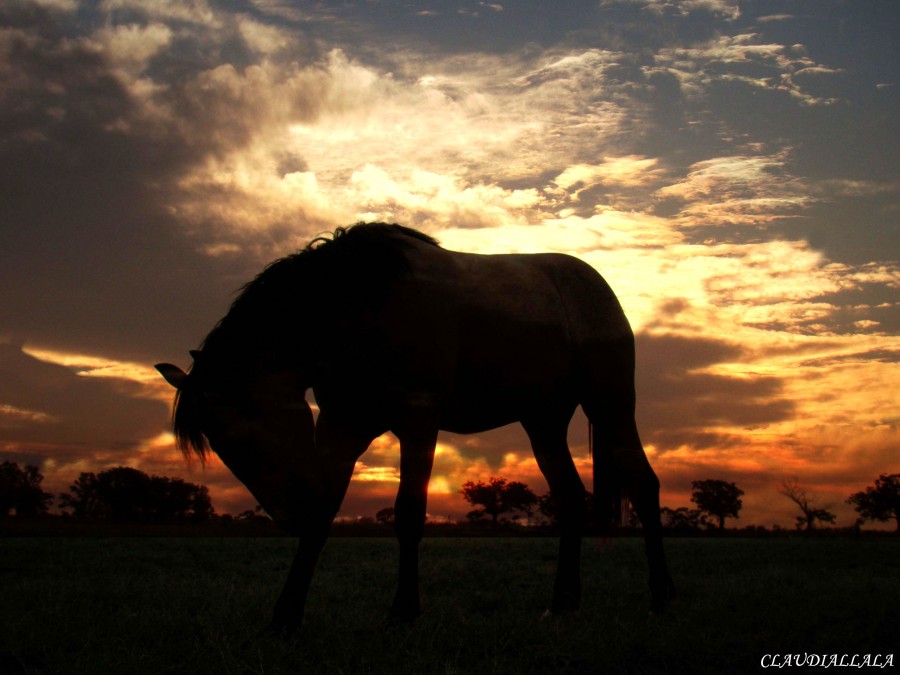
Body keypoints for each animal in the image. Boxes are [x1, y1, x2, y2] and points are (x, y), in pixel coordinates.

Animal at [156, 223, 676, 640]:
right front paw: (284, 617)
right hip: (543, 422)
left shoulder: (418, 419)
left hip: (610, 406)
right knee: (570, 498)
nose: (289, 514)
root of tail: (597, 286)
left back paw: (661, 600)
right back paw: (563, 604)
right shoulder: (340, 427)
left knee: (644, 484)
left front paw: (404, 612)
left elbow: (409, 513)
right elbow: (323, 518)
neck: (360, 306)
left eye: (241, 435)